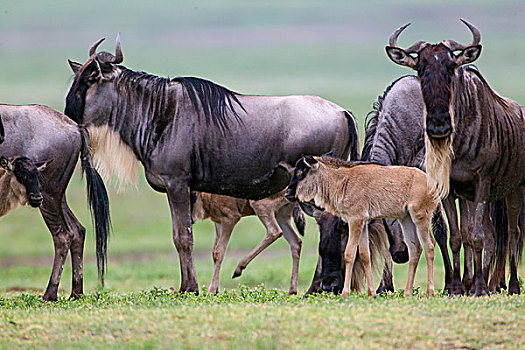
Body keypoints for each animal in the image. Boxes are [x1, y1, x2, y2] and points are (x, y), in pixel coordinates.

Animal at [286, 157, 442, 296]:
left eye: (301, 172)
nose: (287, 193)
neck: (343, 181)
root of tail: (433, 185)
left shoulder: (355, 220)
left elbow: (349, 253)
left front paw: (345, 293)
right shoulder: (363, 223)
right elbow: (364, 254)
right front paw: (371, 293)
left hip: (420, 217)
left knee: (429, 246)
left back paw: (430, 292)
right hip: (406, 219)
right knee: (415, 248)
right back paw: (408, 293)